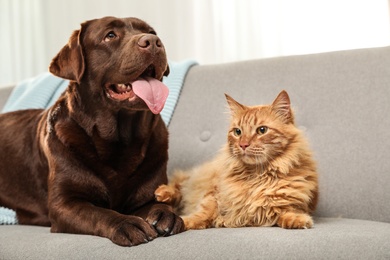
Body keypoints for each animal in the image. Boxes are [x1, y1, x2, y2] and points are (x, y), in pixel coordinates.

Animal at [157, 91, 318, 230]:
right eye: (237, 132)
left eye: (262, 130)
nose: (243, 145)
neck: (257, 176)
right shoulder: (213, 193)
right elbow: (204, 212)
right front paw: (183, 222)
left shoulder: (287, 204)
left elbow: (286, 212)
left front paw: (299, 220)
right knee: (179, 184)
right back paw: (162, 193)